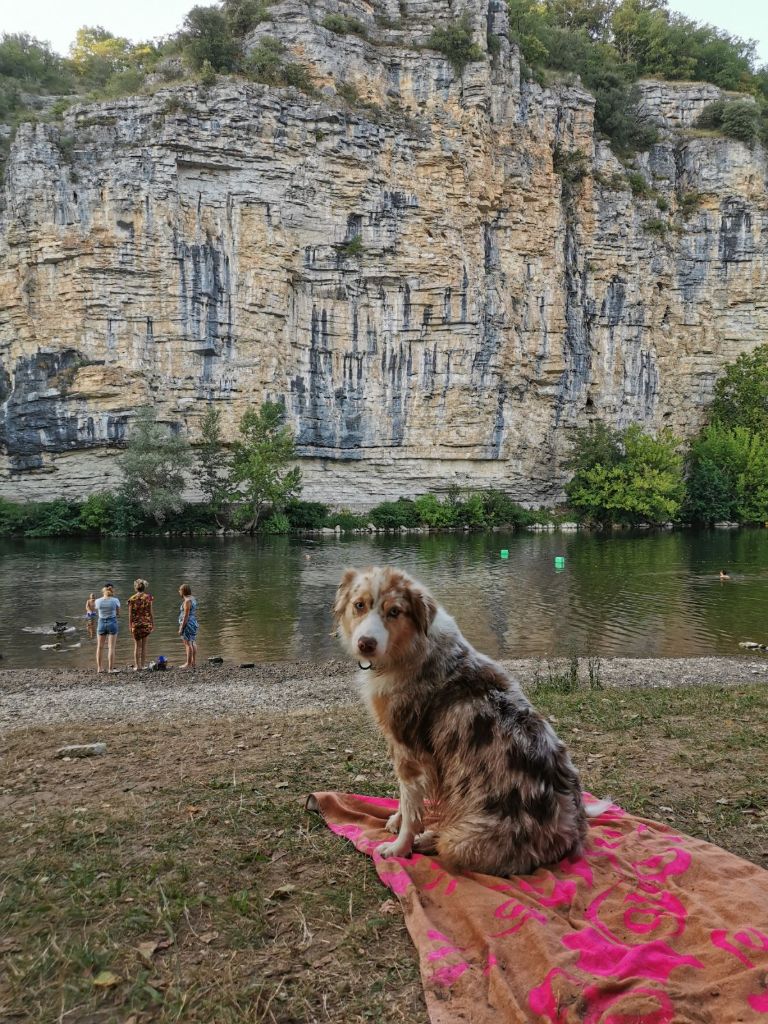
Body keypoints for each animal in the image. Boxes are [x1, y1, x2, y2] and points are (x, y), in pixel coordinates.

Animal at [333, 569, 610, 872]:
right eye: (359, 605)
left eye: (394, 611)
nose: (366, 644)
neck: (412, 648)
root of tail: (576, 828)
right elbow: (407, 802)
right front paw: (396, 820)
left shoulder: (409, 750)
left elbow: (411, 806)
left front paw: (399, 847)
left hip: (462, 840)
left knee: (448, 843)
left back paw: (427, 839)